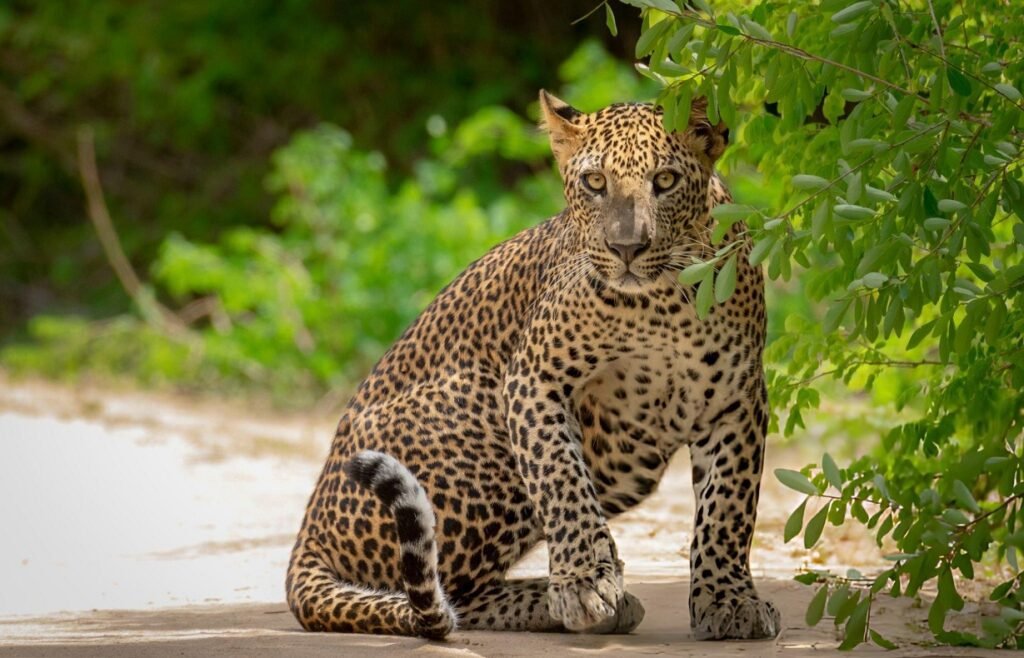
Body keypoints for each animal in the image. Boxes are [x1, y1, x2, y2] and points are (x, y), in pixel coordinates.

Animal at [285, 90, 780, 641]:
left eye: (666, 181)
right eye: (595, 182)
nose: (627, 248)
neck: (660, 305)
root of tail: (307, 531)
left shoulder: (737, 399)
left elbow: (728, 506)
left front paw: (728, 600)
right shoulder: (533, 377)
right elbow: (561, 480)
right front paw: (584, 584)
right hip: (479, 415)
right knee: (441, 591)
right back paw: (563, 602)